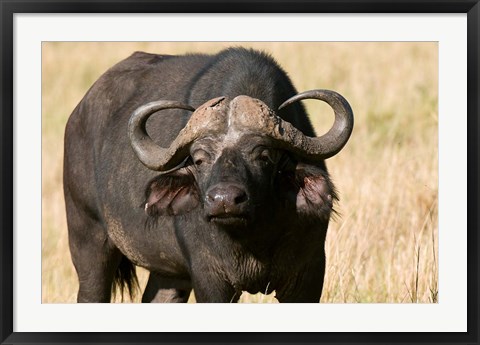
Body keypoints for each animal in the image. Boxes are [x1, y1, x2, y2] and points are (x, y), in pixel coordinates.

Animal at [64, 46, 352, 300]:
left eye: (264, 155)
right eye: (200, 159)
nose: (224, 201)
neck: (255, 236)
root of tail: (78, 115)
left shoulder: (309, 274)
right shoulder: (210, 277)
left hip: (170, 275)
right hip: (88, 241)